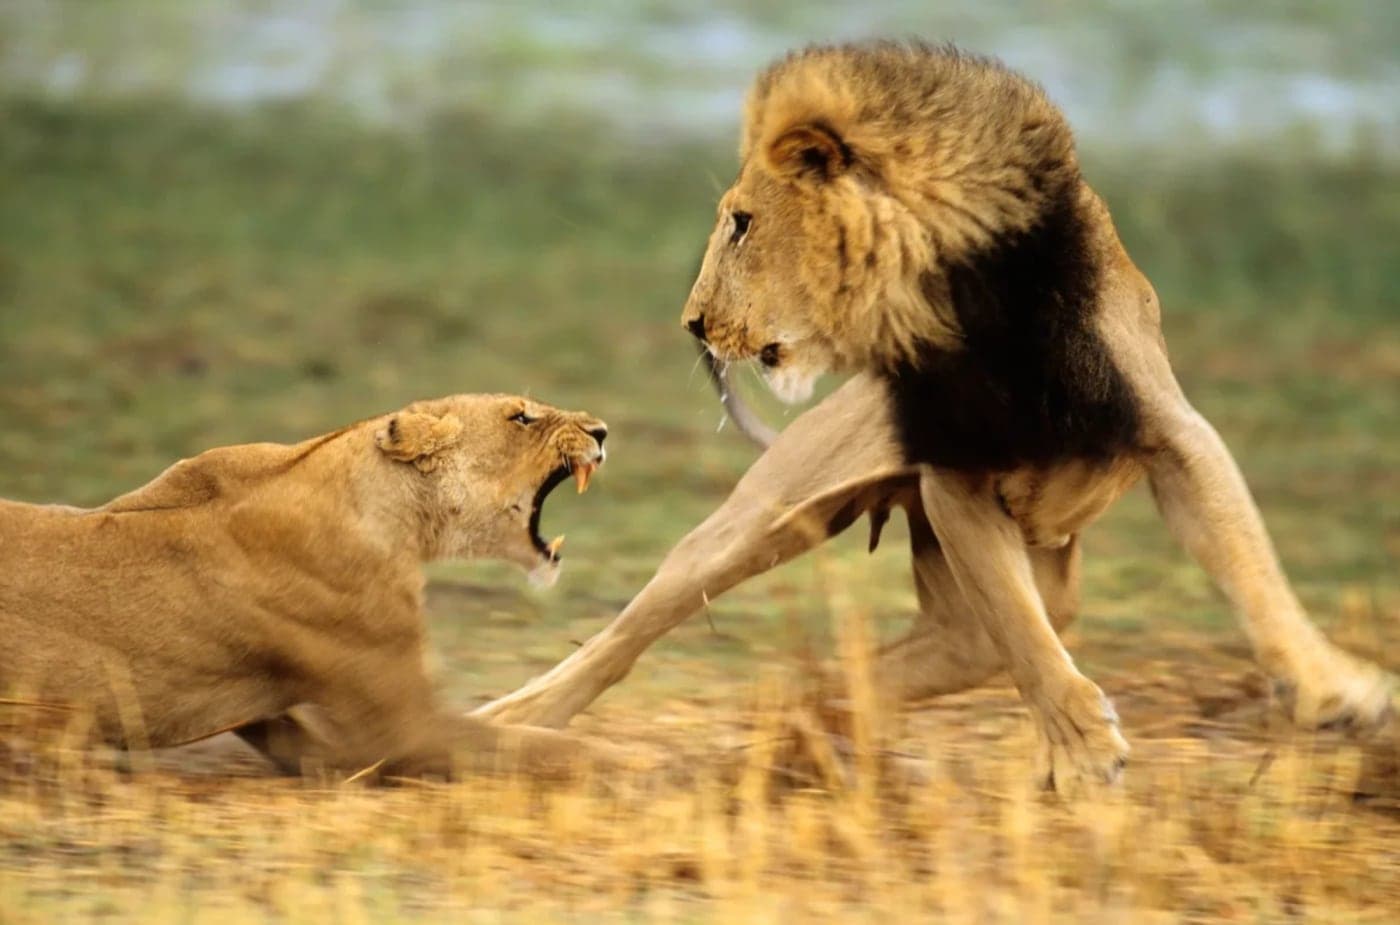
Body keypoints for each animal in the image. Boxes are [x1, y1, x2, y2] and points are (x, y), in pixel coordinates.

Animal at [0, 393, 612, 779]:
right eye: (521, 417)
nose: (601, 431)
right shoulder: (405, 730)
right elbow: (549, 749)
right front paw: (622, 764)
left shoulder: (318, 738)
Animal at [476, 42, 1394, 794]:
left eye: (741, 224)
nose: (695, 325)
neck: (960, 300)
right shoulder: (957, 477)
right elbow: (1025, 634)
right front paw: (1082, 749)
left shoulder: (1171, 434)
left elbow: (1253, 573)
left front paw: (1338, 691)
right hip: (760, 521)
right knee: (623, 637)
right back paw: (502, 724)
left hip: (1013, 584)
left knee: (926, 653)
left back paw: (811, 721)